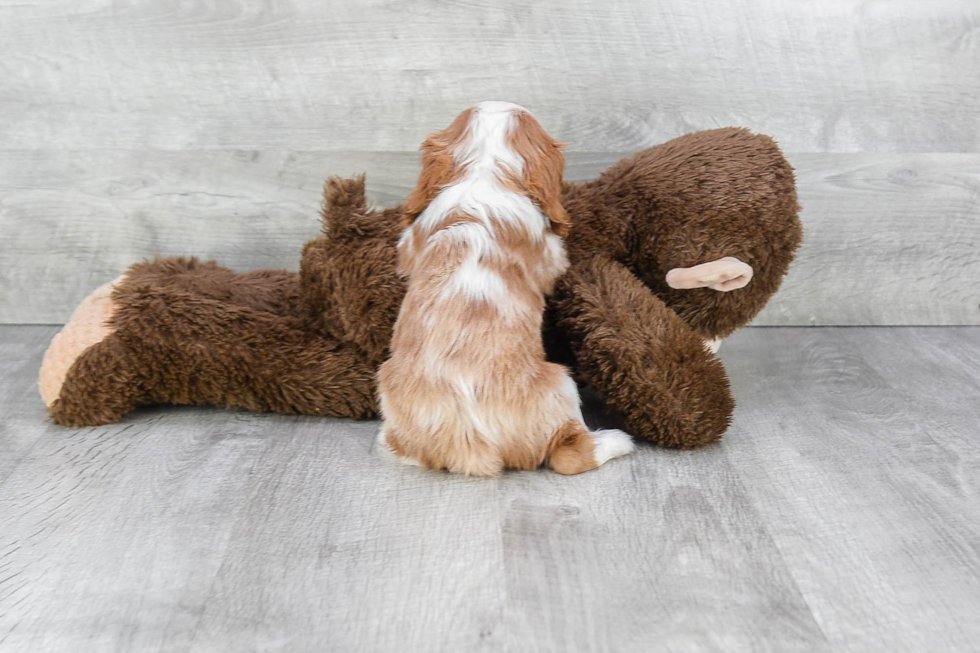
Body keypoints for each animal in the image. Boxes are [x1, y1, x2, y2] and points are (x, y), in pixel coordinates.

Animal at [376, 100, 636, 474]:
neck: (483, 173)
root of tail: (469, 446)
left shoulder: (412, 242)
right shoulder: (550, 255)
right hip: (560, 382)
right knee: (569, 455)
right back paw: (616, 441)